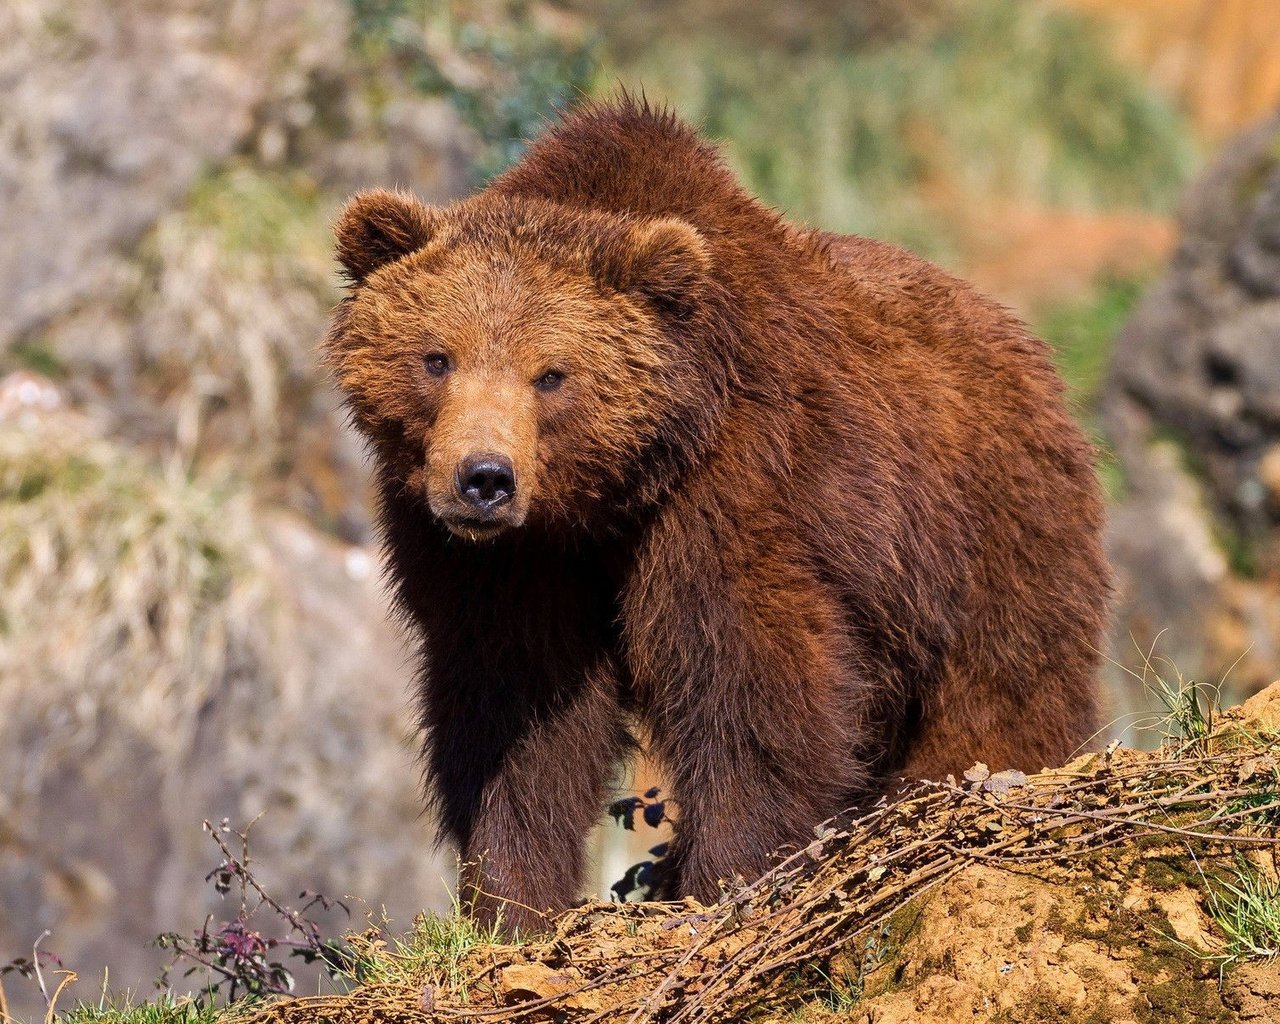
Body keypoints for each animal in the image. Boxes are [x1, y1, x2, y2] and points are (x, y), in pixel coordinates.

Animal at [322, 97, 1111, 936]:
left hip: (987, 523)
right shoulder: (502, 563)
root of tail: (1025, 342)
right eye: (437, 358)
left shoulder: (739, 486)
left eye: (552, 375)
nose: (484, 480)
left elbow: (749, 681)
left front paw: (724, 876)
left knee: (1004, 675)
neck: (607, 498)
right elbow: (516, 711)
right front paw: (511, 902)